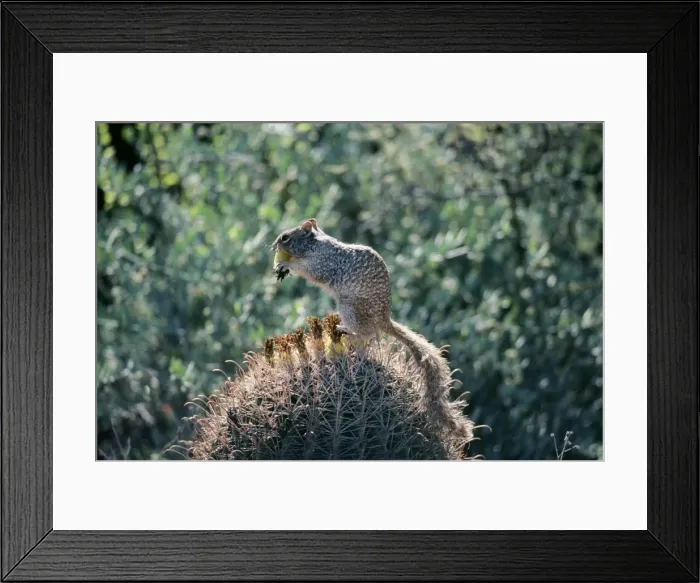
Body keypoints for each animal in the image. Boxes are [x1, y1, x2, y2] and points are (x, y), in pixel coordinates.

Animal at [272, 218, 466, 437]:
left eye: (285, 237)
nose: (274, 245)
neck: (317, 244)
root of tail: (384, 319)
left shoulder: (322, 263)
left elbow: (309, 271)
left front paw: (286, 263)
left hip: (349, 307)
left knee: (367, 333)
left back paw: (346, 331)